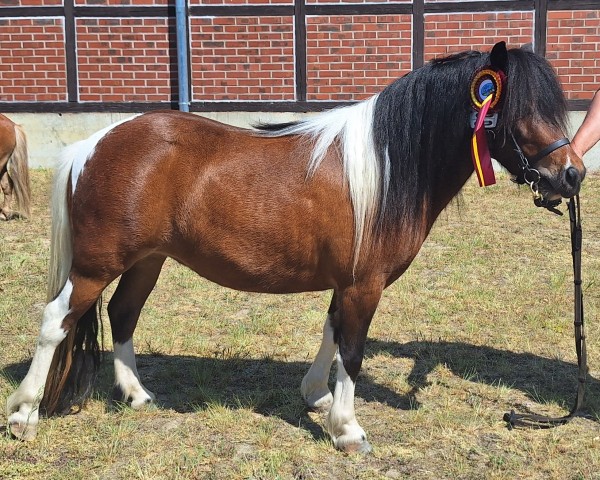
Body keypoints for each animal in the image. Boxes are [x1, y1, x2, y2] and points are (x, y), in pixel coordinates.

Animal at [5, 40, 584, 450]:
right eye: (520, 112)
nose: (573, 175)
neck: (385, 166)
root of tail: (92, 144)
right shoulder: (365, 284)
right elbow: (352, 349)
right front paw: (348, 430)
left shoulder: (347, 282)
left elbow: (332, 333)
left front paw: (315, 396)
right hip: (96, 265)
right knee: (55, 321)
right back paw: (23, 415)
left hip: (147, 260)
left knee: (123, 315)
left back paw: (137, 396)